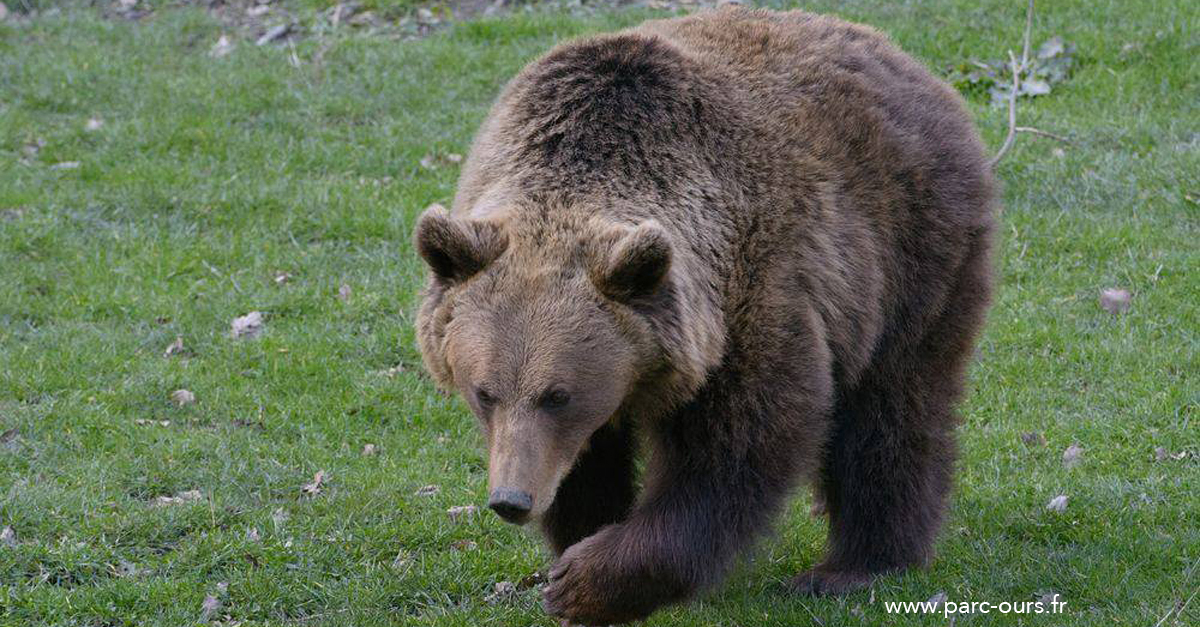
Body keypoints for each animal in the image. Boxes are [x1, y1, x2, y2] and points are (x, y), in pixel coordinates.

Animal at [412, 6, 993, 624]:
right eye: (484, 393)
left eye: (558, 395)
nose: (511, 500)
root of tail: (899, 56)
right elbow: (586, 466)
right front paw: (579, 541)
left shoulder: (748, 294)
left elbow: (743, 443)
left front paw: (587, 579)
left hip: (908, 249)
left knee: (893, 407)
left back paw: (856, 565)